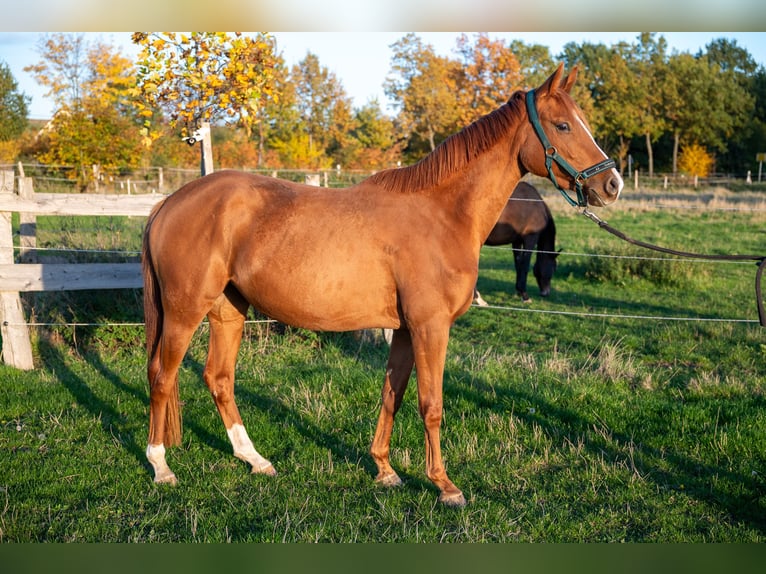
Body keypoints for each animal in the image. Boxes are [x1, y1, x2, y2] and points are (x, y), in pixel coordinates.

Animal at [142, 65, 624, 510]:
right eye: (563, 125)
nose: (611, 184)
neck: (442, 214)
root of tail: (172, 202)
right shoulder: (430, 327)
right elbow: (431, 404)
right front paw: (445, 486)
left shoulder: (407, 330)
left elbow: (393, 394)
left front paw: (385, 470)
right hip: (185, 312)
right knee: (162, 377)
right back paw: (161, 466)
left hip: (228, 311)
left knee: (219, 378)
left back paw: (255, 460)